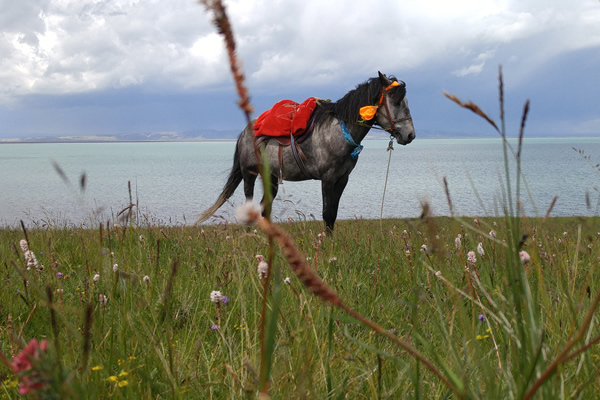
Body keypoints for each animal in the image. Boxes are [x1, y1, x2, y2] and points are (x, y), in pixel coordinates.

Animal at [199, 70, 414, 230]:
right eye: (396, 102)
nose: (410, 135)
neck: (339, 130)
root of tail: (245, 132)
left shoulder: (342, 179)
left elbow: (333, 214)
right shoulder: (327, 178)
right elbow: (327, 213)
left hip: (271, 177)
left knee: (264, 209)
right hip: (249, 174)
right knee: (251, 205)